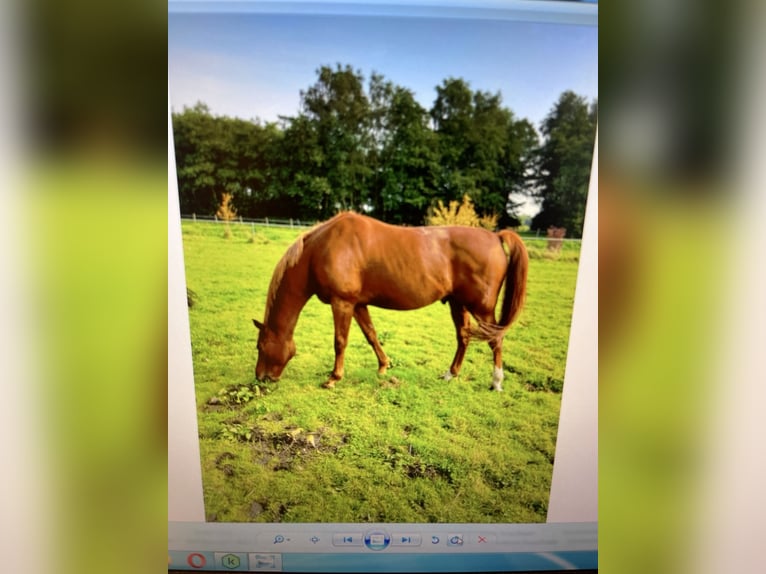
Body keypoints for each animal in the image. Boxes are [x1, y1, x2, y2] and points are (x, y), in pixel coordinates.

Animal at [252, 212, 528, 392]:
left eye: (260, 346)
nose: (261, 378)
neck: (323, 247)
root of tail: (495, 237)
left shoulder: (342, 302)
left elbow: (340, 341)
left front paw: (333, 378)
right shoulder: (358, 305)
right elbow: (371, 335)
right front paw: (384, 366)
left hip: (481, 308)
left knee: (495, 340)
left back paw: (496, 382)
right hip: (457, 303)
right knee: (464, 337)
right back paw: (450, 374)